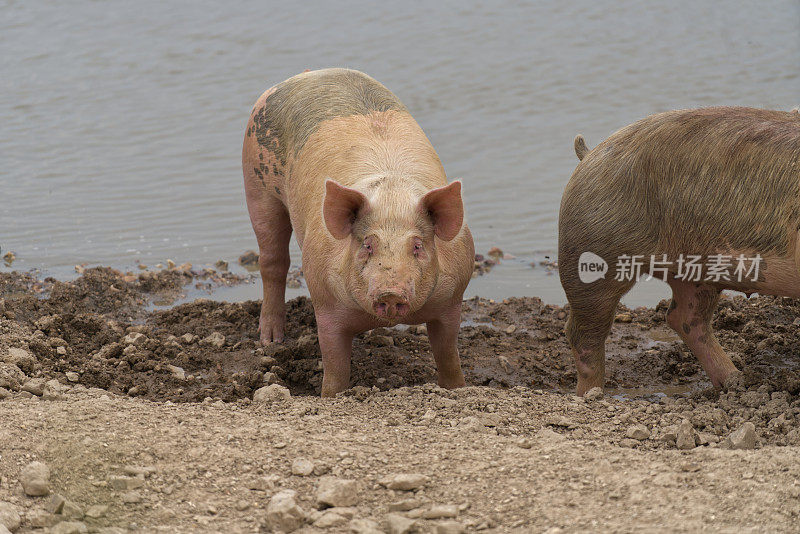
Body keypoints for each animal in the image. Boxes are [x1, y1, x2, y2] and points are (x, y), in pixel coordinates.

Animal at [241, 68, 472, 398]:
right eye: (367, 244)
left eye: (417, 245)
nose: (390, 292)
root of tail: (309, 73)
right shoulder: (325, 300)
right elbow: (335, 367)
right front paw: (329, 396)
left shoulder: (452, 299)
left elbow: (448, 355)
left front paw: (457, 388)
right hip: (256, 186)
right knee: (272, 261)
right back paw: (270, 340)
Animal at [560, 107, 800, 396]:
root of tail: (591, 153)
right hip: (591, 251)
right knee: (584, 333)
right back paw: (591, 395)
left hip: (697, 273)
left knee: (685, 319)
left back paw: (734, 382)